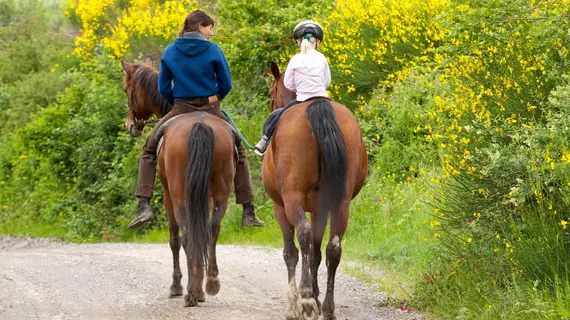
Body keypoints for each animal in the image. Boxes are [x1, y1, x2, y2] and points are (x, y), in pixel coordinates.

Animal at [120, 60, 235, 308]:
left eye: (126, 90)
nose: (130, 125)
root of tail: (199, 123)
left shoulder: (167, 195)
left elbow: (174, 239)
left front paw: (177, 286)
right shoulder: (204, 195)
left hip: (178, 195)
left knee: (186, 234)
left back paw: (190, 292)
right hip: (220, 190)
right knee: (211, 229)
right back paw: (210, 284)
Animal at [262, 62, 368, 320]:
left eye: (271, 92)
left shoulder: (280, 207)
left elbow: (292, 252)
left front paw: (296, 302)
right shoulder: (320, 209)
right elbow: (316, 253)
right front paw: (317, 297)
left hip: (291, 201)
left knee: (304, 234)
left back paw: (306, 297)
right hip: (341, 203)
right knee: (333, 247)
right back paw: (327, 307)